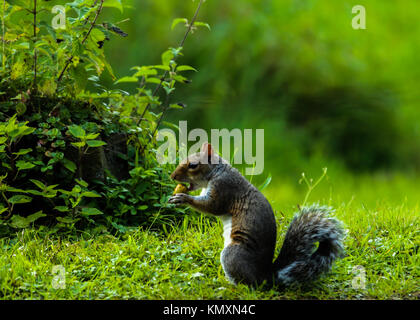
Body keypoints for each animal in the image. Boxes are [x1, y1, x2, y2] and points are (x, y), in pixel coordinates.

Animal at [167, 142, 344, 288]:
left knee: (250, 285)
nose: (172, 176)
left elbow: (212, 206)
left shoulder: (224, 188)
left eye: (193, 165)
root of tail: (266, 275)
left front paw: (183, 199)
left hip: (233, 255)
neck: (217, 172)